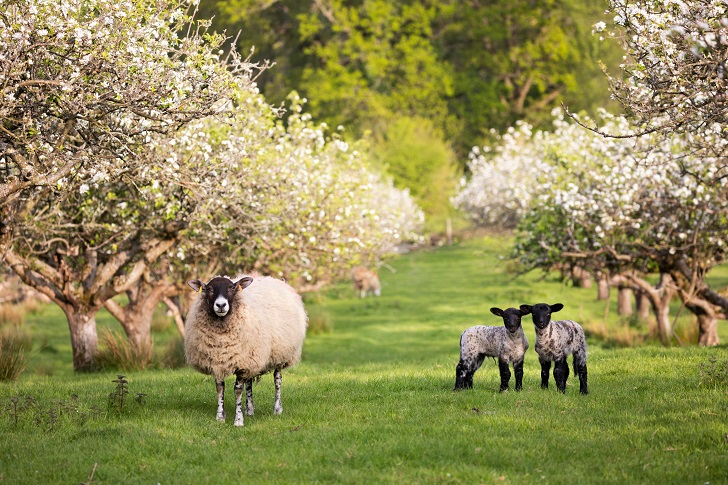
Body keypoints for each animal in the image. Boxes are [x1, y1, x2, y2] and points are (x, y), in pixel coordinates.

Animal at [185, 274, 308, 426]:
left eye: (232, 288)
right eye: (209, 289)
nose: (221, 305)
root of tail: (273, 279)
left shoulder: (241, 362)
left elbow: (238, 390)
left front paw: (238, 420)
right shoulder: (218, 361)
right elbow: (220, 388)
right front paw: (220, 417)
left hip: (280, 354)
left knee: (277, 380)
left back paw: (277, 409)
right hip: (252, 357)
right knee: (249, 382)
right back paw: (249, 409)